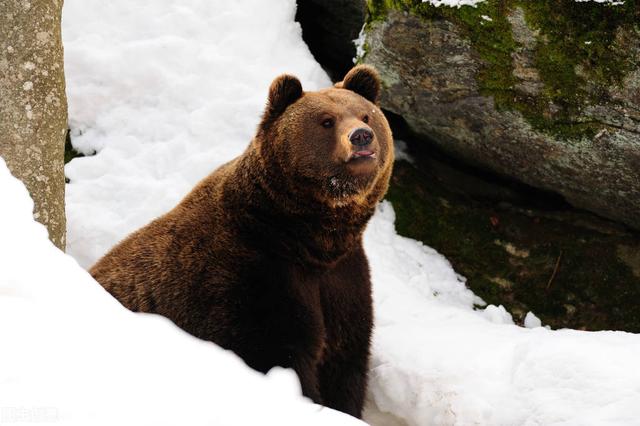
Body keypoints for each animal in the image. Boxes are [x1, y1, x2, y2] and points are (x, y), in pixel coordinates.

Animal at [89, 65, 390, 418]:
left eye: (366, 115)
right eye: (326, 121)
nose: (361, 136)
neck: (308, 237)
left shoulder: (343, 282)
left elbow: (344, 364)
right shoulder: (246, 279)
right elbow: (275, 355)